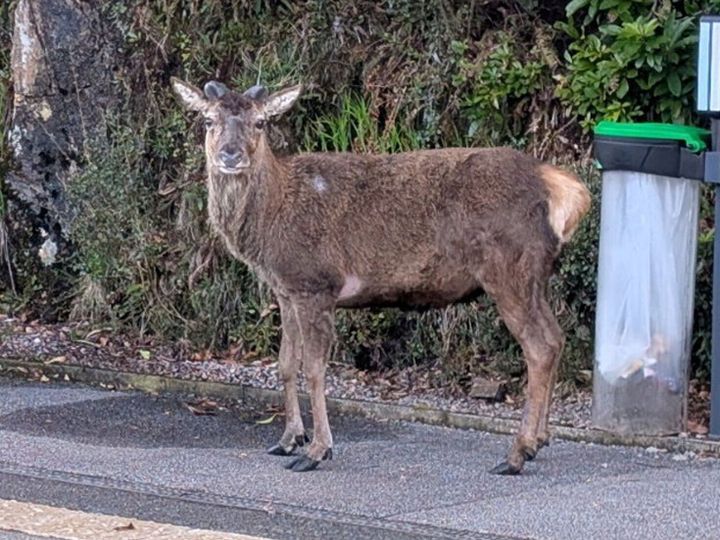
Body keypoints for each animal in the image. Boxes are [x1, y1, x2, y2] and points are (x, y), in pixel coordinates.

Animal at [171, 77, 591, 474]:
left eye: (260, 122)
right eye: (207, 120)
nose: (231, 154)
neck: (268, 224)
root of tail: (565, 190)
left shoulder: (316, 283)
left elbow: (315, 370)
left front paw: (317, 450)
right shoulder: (285, 290)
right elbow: (286, 364)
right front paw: (288, 440)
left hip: (509, 265)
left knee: (539, 346)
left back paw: (517, 453)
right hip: (535, 275)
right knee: (556, 337)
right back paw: (540, 440)